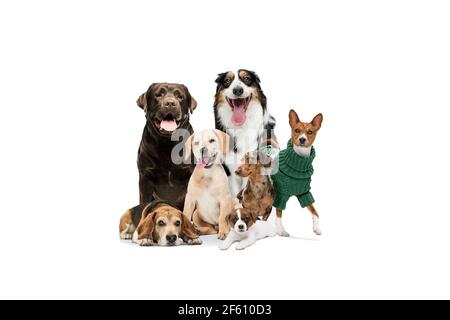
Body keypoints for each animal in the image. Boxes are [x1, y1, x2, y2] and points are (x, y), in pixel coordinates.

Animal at [270, 110, 324, 238]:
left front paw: (316, 228)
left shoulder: (304, 193)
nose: (302, 139)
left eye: (310, 132)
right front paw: (281, 231)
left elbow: (316, 212)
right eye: (297, 130)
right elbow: (279, 214)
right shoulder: (281, 194)